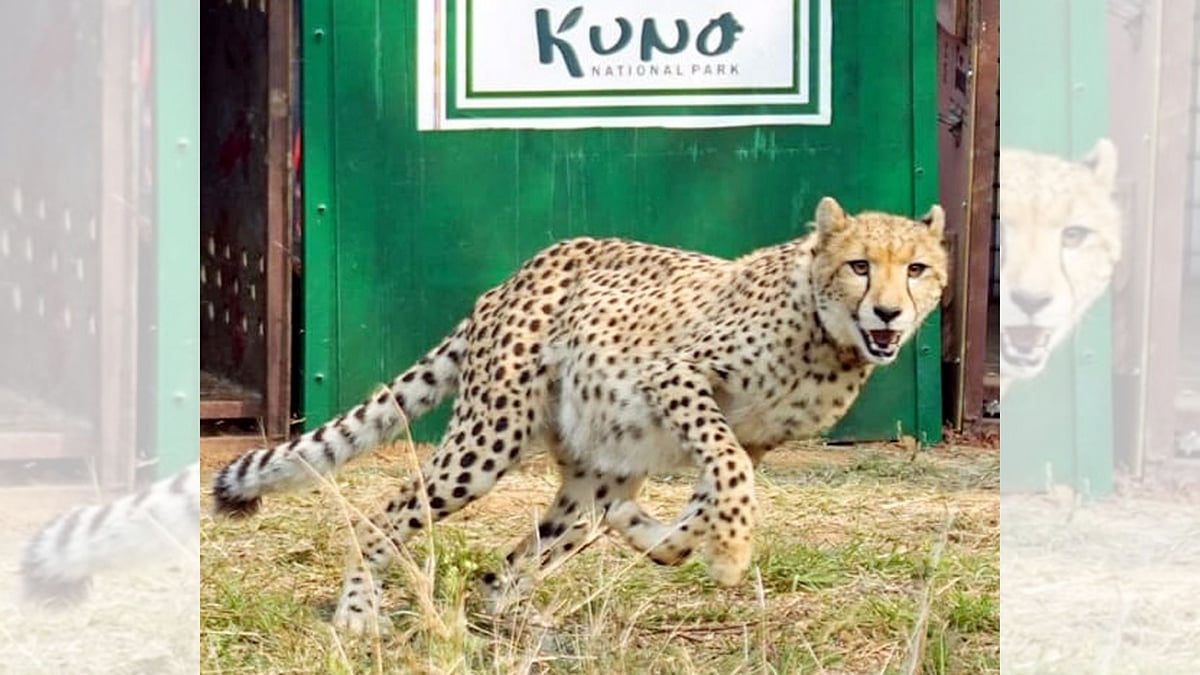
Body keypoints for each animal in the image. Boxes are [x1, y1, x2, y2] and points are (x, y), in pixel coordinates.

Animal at [211, 197, 948, 634]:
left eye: (916, 268)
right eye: (859, 265)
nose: (888, 313)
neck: (828, 340)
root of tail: (519, 273)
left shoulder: (752, 437)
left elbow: (705, 500)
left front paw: (667, 537)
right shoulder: (677, 377)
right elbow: (728, 475)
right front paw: (732, 549)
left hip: (592, 467)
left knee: (529, 549)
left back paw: (517, 619)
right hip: (487, 441)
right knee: (389, 509)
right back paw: (359, 612)